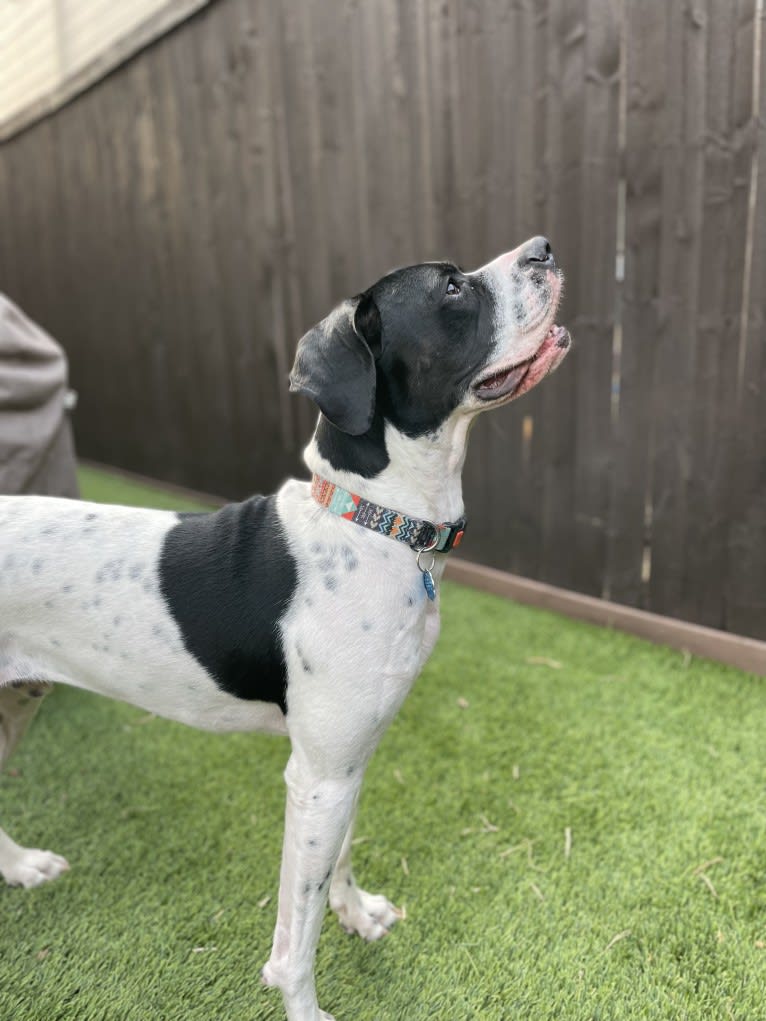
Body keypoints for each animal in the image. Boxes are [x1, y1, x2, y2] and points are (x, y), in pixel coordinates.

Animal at [0, 236, 571, 1021]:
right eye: (452, 288)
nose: (544, 248)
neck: (372, 524)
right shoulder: (317, 777)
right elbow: (295, 937)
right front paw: (303, 1004)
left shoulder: (345, 764)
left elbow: (341, 858)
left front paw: (356, 913)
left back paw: (21, 866)